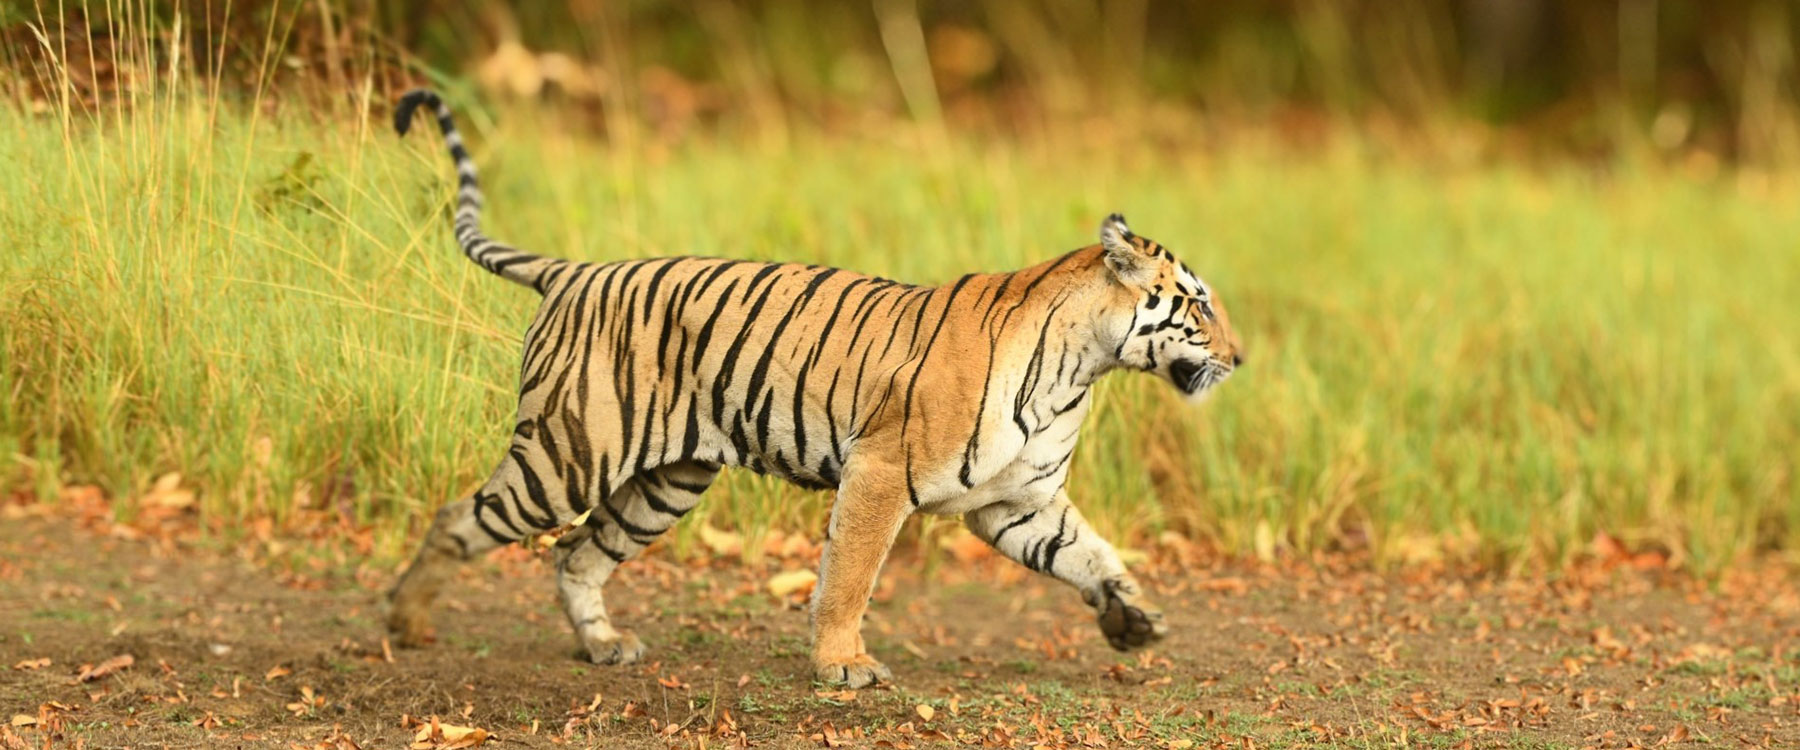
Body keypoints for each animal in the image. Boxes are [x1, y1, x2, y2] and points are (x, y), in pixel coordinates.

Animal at [387, 90, 1245, 687]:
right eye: (1199, 303)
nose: (1240, 359)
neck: (1083, 369)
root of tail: (574, 270)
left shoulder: (1018, 500)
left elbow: (1090, 554)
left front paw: (1135, 621)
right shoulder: (881, 471)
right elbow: (850, 575)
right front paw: (843, 665)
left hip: (664, 482)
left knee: (577, 553)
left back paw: (602, 644)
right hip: (570, 455)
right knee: (460, 518)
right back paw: (406, 624)